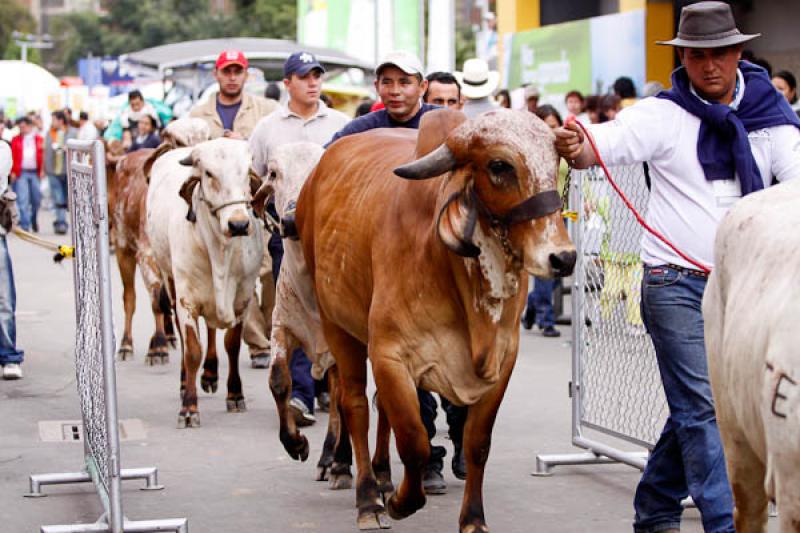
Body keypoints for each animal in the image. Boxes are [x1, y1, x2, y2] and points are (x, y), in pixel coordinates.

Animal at [145, 138, 264, 428]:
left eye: (247, 172)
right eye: (208, 173)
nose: (239, 224)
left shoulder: (243, 296)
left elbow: (232, 344)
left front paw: (235, 394)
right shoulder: (187, 298)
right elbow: (192, 350)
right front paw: (189, 408)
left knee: (211, 330)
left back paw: (210, 374)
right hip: (169, 279)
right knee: (181, 330)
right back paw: (183, 382)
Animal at [294, 107, 576, 528]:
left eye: (555, 158)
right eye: (499, 165)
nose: (563, 258)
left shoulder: (503, 360)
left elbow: (476, 444)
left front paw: (473, 518)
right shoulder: (388, 353)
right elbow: (414, 440)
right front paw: (401, 502)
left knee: (379, 409)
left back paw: (382, 475)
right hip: (336, 323)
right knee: (354, 403)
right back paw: (365, 494)